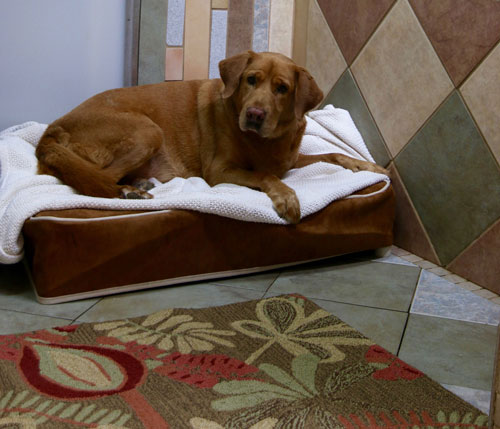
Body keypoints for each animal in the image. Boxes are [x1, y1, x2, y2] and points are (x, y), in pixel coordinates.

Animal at [36, 49, 386, 222]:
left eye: (282, 88)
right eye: (251, 79)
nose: (254, 115)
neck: (268, 141)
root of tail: (51, 131)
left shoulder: (289, 160)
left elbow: (333, 154)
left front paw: (370, 166)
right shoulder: (220, 170)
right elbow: (267, 176)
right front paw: (287, 196)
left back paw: (137, 187)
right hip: (149, 131)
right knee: (99, 181)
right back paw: (129, 193)